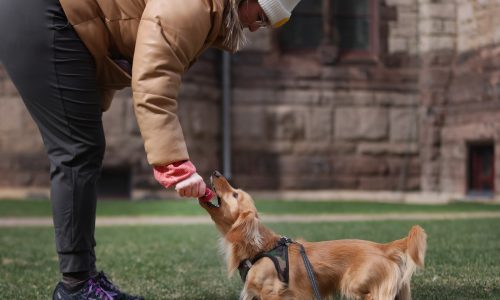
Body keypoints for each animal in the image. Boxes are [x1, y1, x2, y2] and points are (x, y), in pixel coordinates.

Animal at [199, 171, 426, 300]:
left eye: (235, 194)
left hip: (355, 285)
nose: (217, 172)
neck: (260, 248)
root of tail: (383, 247)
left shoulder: (272, 292)